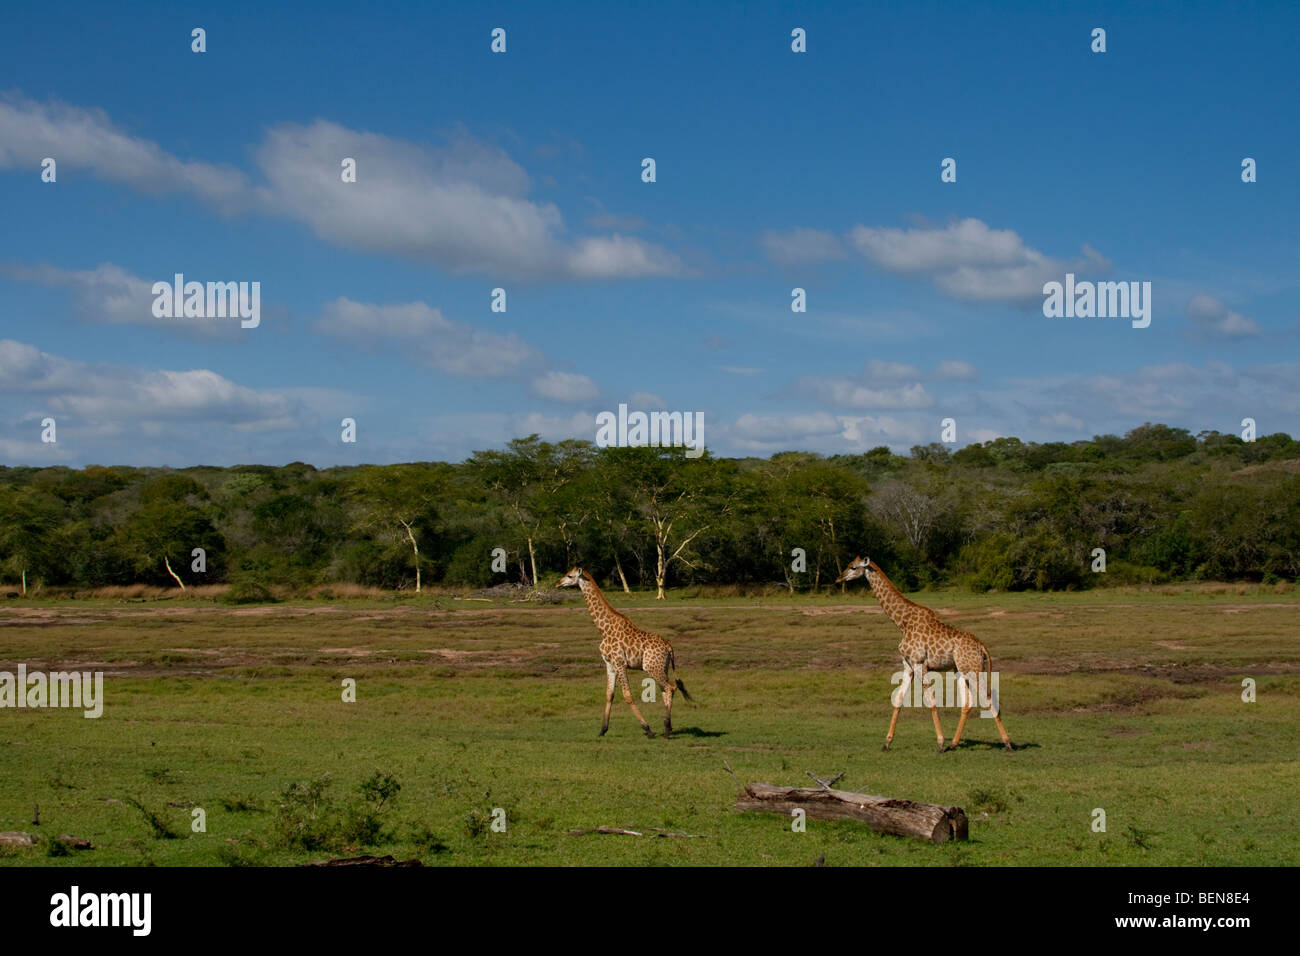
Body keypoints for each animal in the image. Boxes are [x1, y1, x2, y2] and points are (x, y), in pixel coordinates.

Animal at [553, 567, 691, 738]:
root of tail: (669, 646)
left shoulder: (620, 663)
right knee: (665, 690)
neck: (603, 629)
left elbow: (627, 696)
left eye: (570, 576)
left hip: (652, 668)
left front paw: (648, 729)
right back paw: (669, 728)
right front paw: (602, 730)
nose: (557, 583)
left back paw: (666, 730)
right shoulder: (609, 664)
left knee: (670, 688)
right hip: (661, 668)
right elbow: (609, 694)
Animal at [837, 556, 1008, 749]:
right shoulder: (908, 665)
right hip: (960, 670)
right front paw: (887, 743)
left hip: (973, 670)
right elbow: (898, 700)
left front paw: (940, 743)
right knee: (968, 702)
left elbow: (931, 702)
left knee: (987, 698)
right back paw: (954, 744)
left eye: (853, 567)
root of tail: (982, 647)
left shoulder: (919, 664)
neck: (902, 622)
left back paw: (1007, 743)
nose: (839, 579)